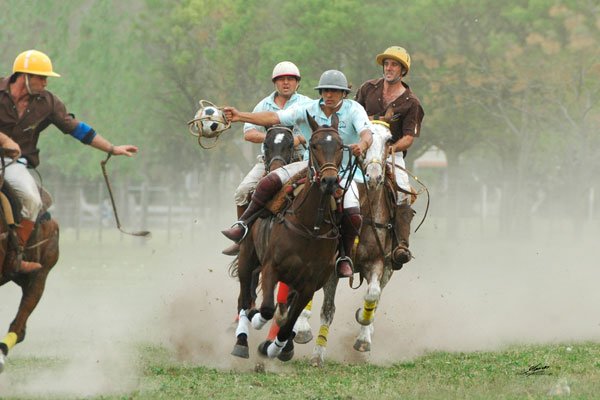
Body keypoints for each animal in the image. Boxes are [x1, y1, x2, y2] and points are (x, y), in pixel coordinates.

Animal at [231, 111, 342, 360]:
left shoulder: (309, 285)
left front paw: (275, 347)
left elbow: (288, 322)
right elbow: (267, 309)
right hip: (247, 256)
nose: (329, 181)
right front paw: (256, 320)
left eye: (341, 146)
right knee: (244, 298)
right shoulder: (271, 267)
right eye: (314, 144)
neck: (311, 228)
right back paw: (241, 339)